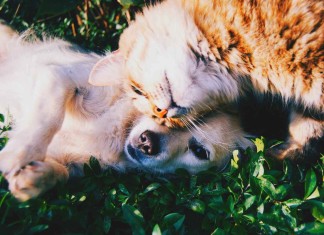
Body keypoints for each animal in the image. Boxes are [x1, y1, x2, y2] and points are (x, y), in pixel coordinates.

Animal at [0, 24, 252, 202]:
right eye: (160, 110)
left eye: (200, 151)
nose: (147, 142)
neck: (119, 132)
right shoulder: (59, 76)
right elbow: (48, 116)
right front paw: (18, 153)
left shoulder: (77, 165)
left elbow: (62, 173)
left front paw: (34, 178)